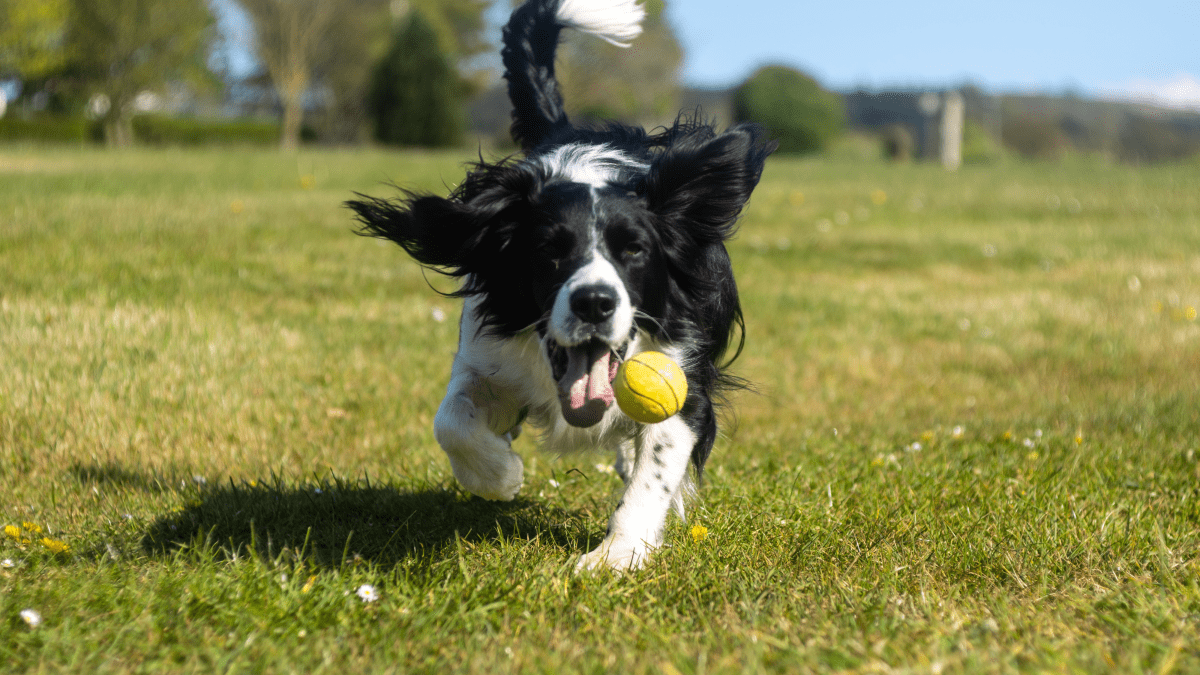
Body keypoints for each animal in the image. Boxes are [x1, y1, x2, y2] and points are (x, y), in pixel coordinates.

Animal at [350, 0, 772, 566]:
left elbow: (657, 469)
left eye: (634, 250)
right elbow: (452, 419)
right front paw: (498, 475)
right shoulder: (488, 354)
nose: (594, 302)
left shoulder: (685, 373)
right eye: (548, 252)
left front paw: (615, 556)